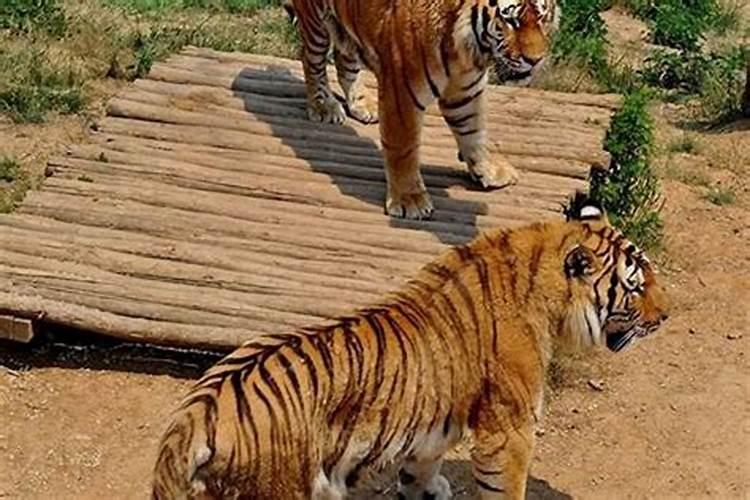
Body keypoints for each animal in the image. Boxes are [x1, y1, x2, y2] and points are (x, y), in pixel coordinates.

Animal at [152, 192, 669, 500]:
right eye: (636, 286)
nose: (666, 315)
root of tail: (192, 417)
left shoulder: (433, 428)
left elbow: (419, 468)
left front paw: (428, 490)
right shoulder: (509, 429)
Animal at [284, 0, 560, 220]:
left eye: (541, 18)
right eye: (510, 19)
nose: (535, 60)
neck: (470, 49)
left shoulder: (465, 90)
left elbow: (473, 131)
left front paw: (489, 170)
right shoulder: (402, 93)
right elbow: (403, 149)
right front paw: (409, 201)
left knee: (344, 58)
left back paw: (362, 104)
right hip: (315, 21)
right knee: (311, 58)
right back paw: (324, 106)